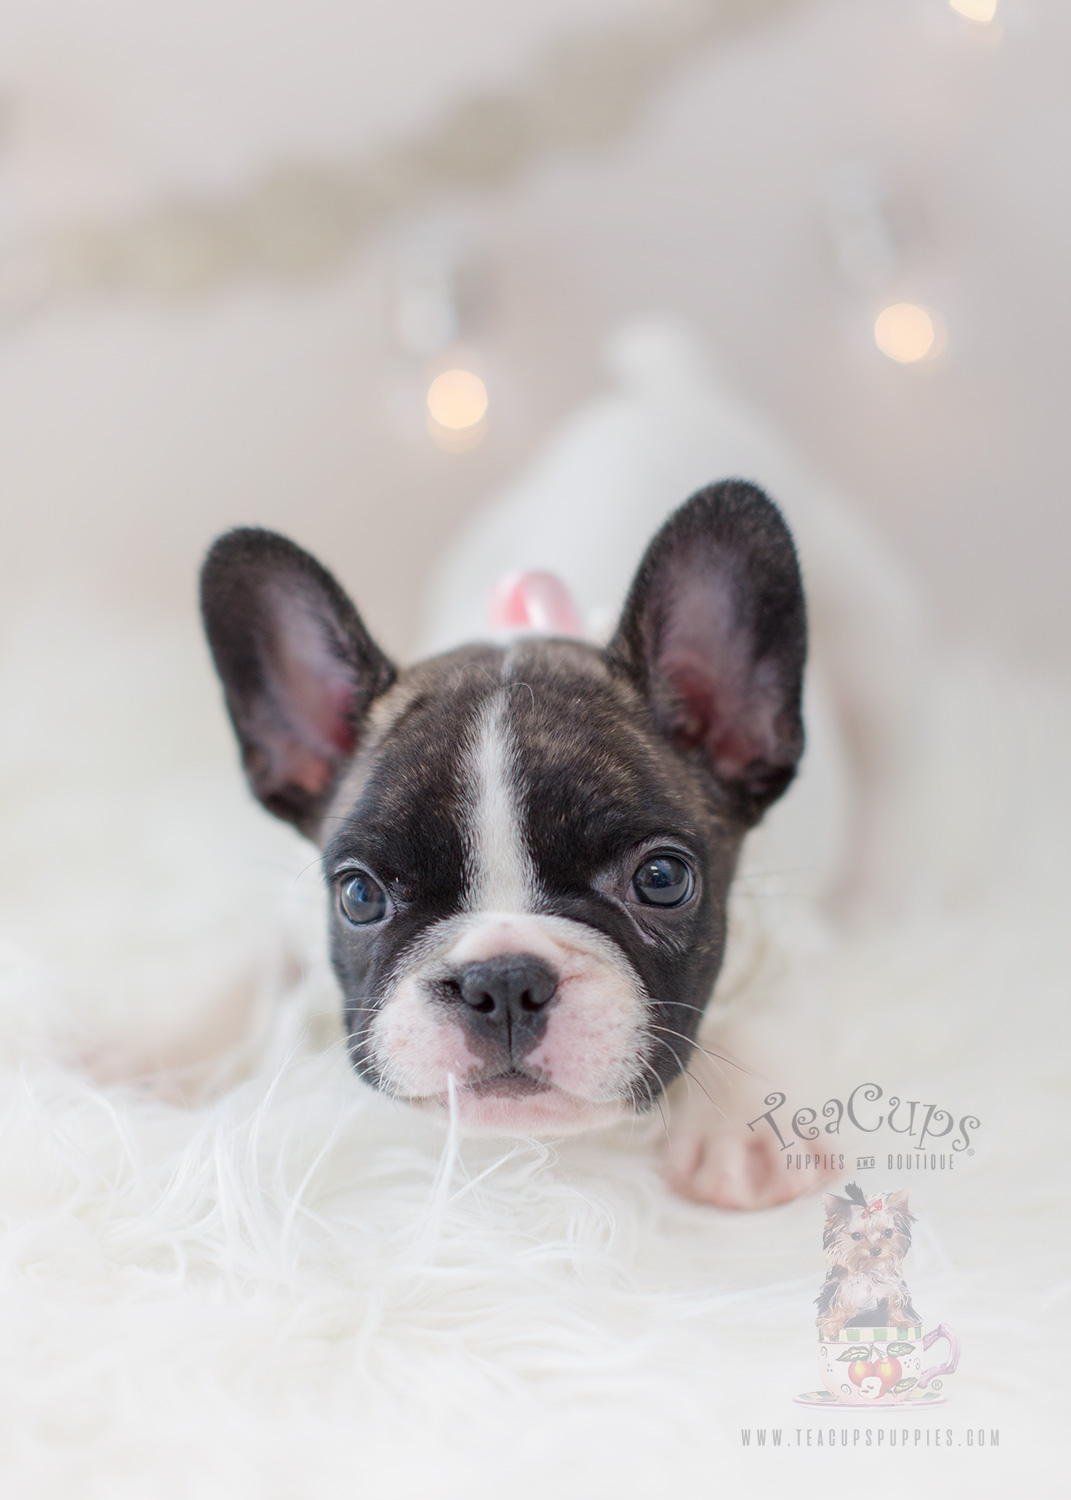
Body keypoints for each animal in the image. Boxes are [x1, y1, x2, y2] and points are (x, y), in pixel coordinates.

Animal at [201, 480, 804, 1206]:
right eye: (358, 895)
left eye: (662, 880)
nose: (504, 980)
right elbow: (248, 977)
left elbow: (765, 1012)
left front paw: (740, 1139)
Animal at [816, 1182, 912, 1338]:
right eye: (855, 1235)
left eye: (888, 1232)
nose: (875, 1250)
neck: (868, 1271)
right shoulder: (842, 1291)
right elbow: (838, 1307)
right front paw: (832, 1324)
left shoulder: (891, 1291)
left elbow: (894, 1306)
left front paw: (902, 1321)